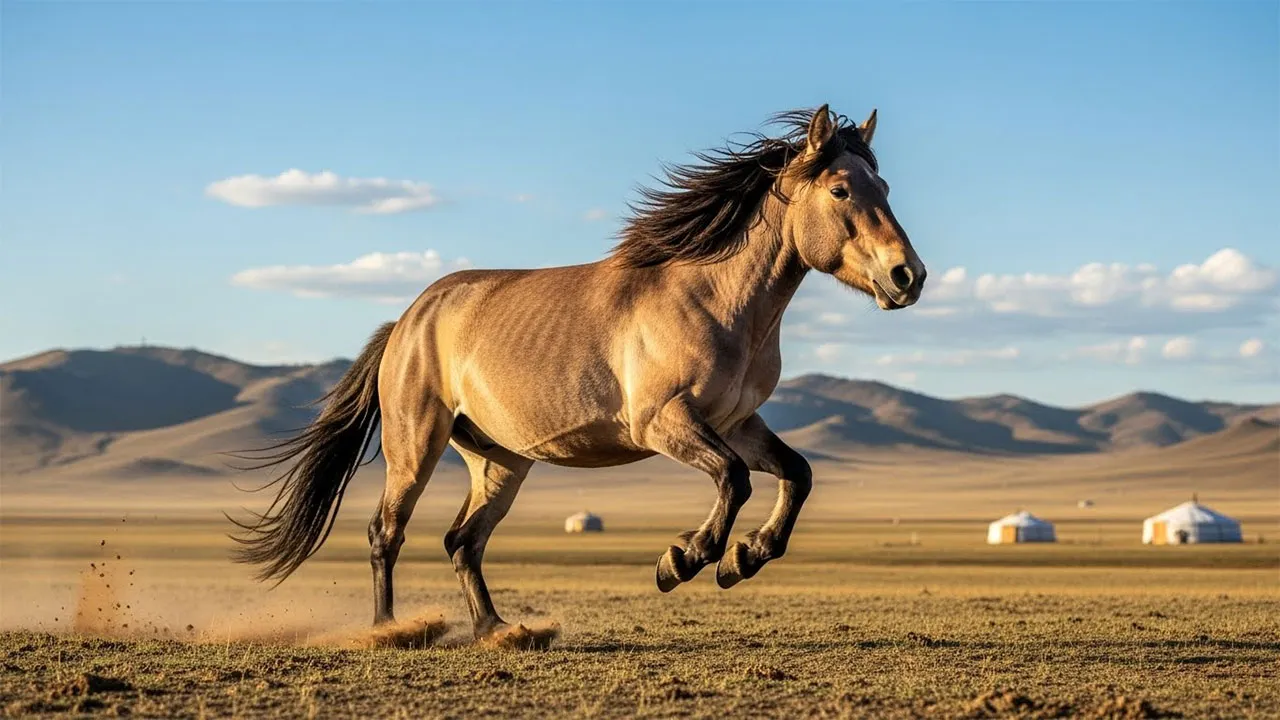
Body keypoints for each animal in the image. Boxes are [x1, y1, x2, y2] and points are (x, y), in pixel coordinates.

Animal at [230, 104, 927, 642]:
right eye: (840, 190)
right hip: (415, 443)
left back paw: (499, 631)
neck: (713, 298)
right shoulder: (664, 423)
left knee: (463, 542)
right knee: (387, 532)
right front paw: (683, 560)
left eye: (887, 189)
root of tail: (408, 320)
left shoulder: (736, 421)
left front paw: (743, 559)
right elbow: (734, 479)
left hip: (500, 459)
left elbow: (796, 474)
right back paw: (389, 631)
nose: (908, 277)